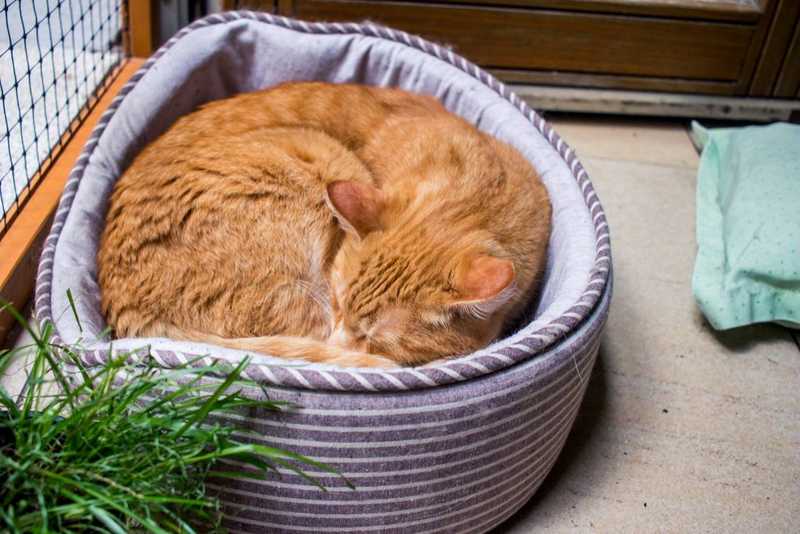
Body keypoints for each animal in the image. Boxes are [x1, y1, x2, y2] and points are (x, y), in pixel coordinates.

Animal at [95, 82, 552, 368]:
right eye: (336, 302)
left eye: (373, 337)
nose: (342, 341)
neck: (486, 193)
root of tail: (127, 314)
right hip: (323, 155)